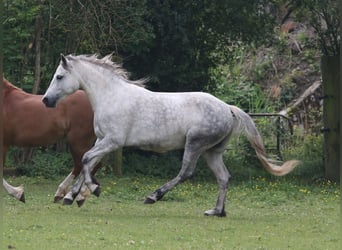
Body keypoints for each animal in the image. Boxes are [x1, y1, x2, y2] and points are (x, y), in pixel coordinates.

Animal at [42, 54, 300, 217]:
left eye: (59, 76)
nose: (46, 100)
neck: (112, 96)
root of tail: (227, 108)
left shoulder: (112, 141)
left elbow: (86, 160)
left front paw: (91, 190)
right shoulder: (102, 140)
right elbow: (88, 161)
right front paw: (73, 196)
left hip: (195, 145)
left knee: (186, 173)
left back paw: (153, 196)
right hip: (212, 152)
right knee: (224, 178)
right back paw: (216, 211)